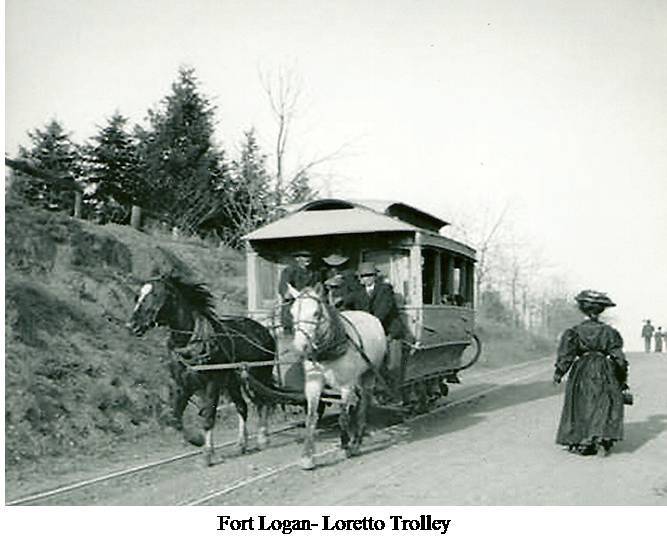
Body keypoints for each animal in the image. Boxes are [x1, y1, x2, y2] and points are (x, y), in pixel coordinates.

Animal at [128, 274, 276, 466]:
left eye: (154, 295)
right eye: (138, 296)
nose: (132, 325)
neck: (190, 343)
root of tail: (263, 329)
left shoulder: (212, 384)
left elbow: (208, 417)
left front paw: (208, 454)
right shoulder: (182, 385)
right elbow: (175, 419)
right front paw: (197, 440)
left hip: (259, 376)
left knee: (262, 403)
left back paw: (263, 438)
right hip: (233, 382)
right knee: (243, 407)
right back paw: (241, 445)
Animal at [286, 284, 386, 468]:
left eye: (316, 313)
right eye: (292, 312)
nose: (300, 345)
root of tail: (370, 316)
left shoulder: (346, 385)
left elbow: (343, 418)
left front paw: (346, 446)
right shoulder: (313, 383)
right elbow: (311, 418)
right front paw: (307, 457)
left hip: (369, 374)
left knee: (364, 405)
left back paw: (357, 441)